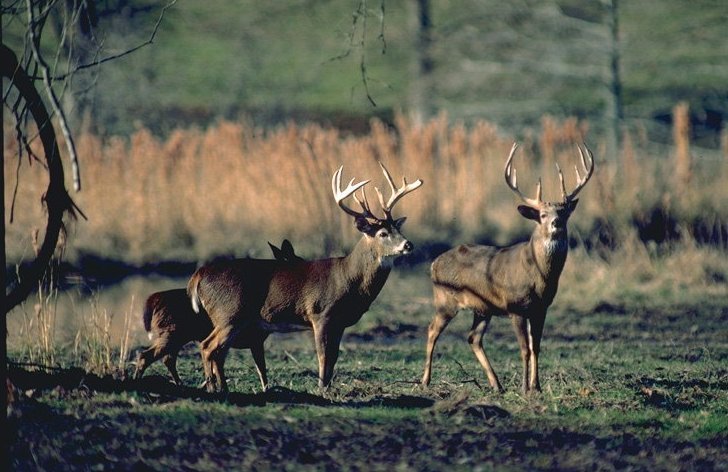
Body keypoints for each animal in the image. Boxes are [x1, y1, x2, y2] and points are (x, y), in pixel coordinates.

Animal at [136, 238, 302, 386]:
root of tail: (153, 300)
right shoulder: (255, 339)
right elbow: (261, 369)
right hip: (172, 332)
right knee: (147, 356)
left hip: (174, 335)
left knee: (167, 359)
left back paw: (179, 383)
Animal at [188, 164, 424, 392]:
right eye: (383, 233)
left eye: (397, 229)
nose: (408, 245)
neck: (349, 279)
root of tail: (198, 275)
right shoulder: (320, 313)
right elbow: (323, 355)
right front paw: (321, 387)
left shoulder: (340, 323)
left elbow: (334, 357)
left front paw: (328, 386)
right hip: (229, 312)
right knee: (208, 346)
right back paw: (215, 387)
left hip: (231, 318)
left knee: (217, 350)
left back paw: (220, 387)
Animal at [418, 144, 596, 394]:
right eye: (542, 215)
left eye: (563, 212)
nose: (556, 223)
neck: (539, 277)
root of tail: (434, 263)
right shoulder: (516, 306)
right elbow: (524, 348)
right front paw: (524, 387)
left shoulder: (541, 308)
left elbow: (536, 346)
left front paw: (536, 386)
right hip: (445, 299)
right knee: (432, 329)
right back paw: (425, 380)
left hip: (483, 308)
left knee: (473, 338)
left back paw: (497, 385)